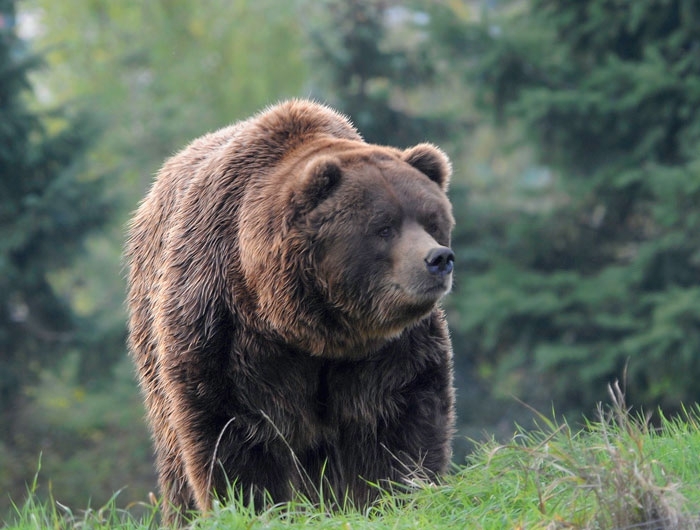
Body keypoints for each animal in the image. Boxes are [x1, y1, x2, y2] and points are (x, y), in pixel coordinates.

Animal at [125, 98, 454, 520]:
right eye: (384, 227)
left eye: (432, 221)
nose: (438, 259)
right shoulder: (227, 328)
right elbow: (232, 427)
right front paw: (249, 505)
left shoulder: (385, 349)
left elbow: (398, 413)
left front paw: (397, 493)